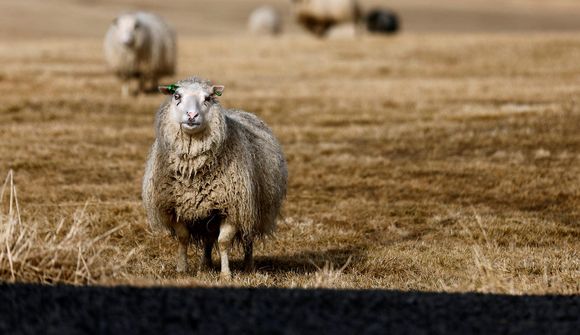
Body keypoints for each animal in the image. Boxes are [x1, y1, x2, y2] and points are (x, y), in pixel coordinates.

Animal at [140, 77, 286, 280]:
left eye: (208, 98)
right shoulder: (174, 207)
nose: (192, 115)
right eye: (176, 96)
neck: (193, 169)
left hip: (251, 210)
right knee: (209, 239)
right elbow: (183, 238)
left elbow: (223, 242)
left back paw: (248, 267)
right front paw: (182, 269)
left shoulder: (233, 207)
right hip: (208, 214)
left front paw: (225, 275)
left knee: (247, 238)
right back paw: (205, 265)